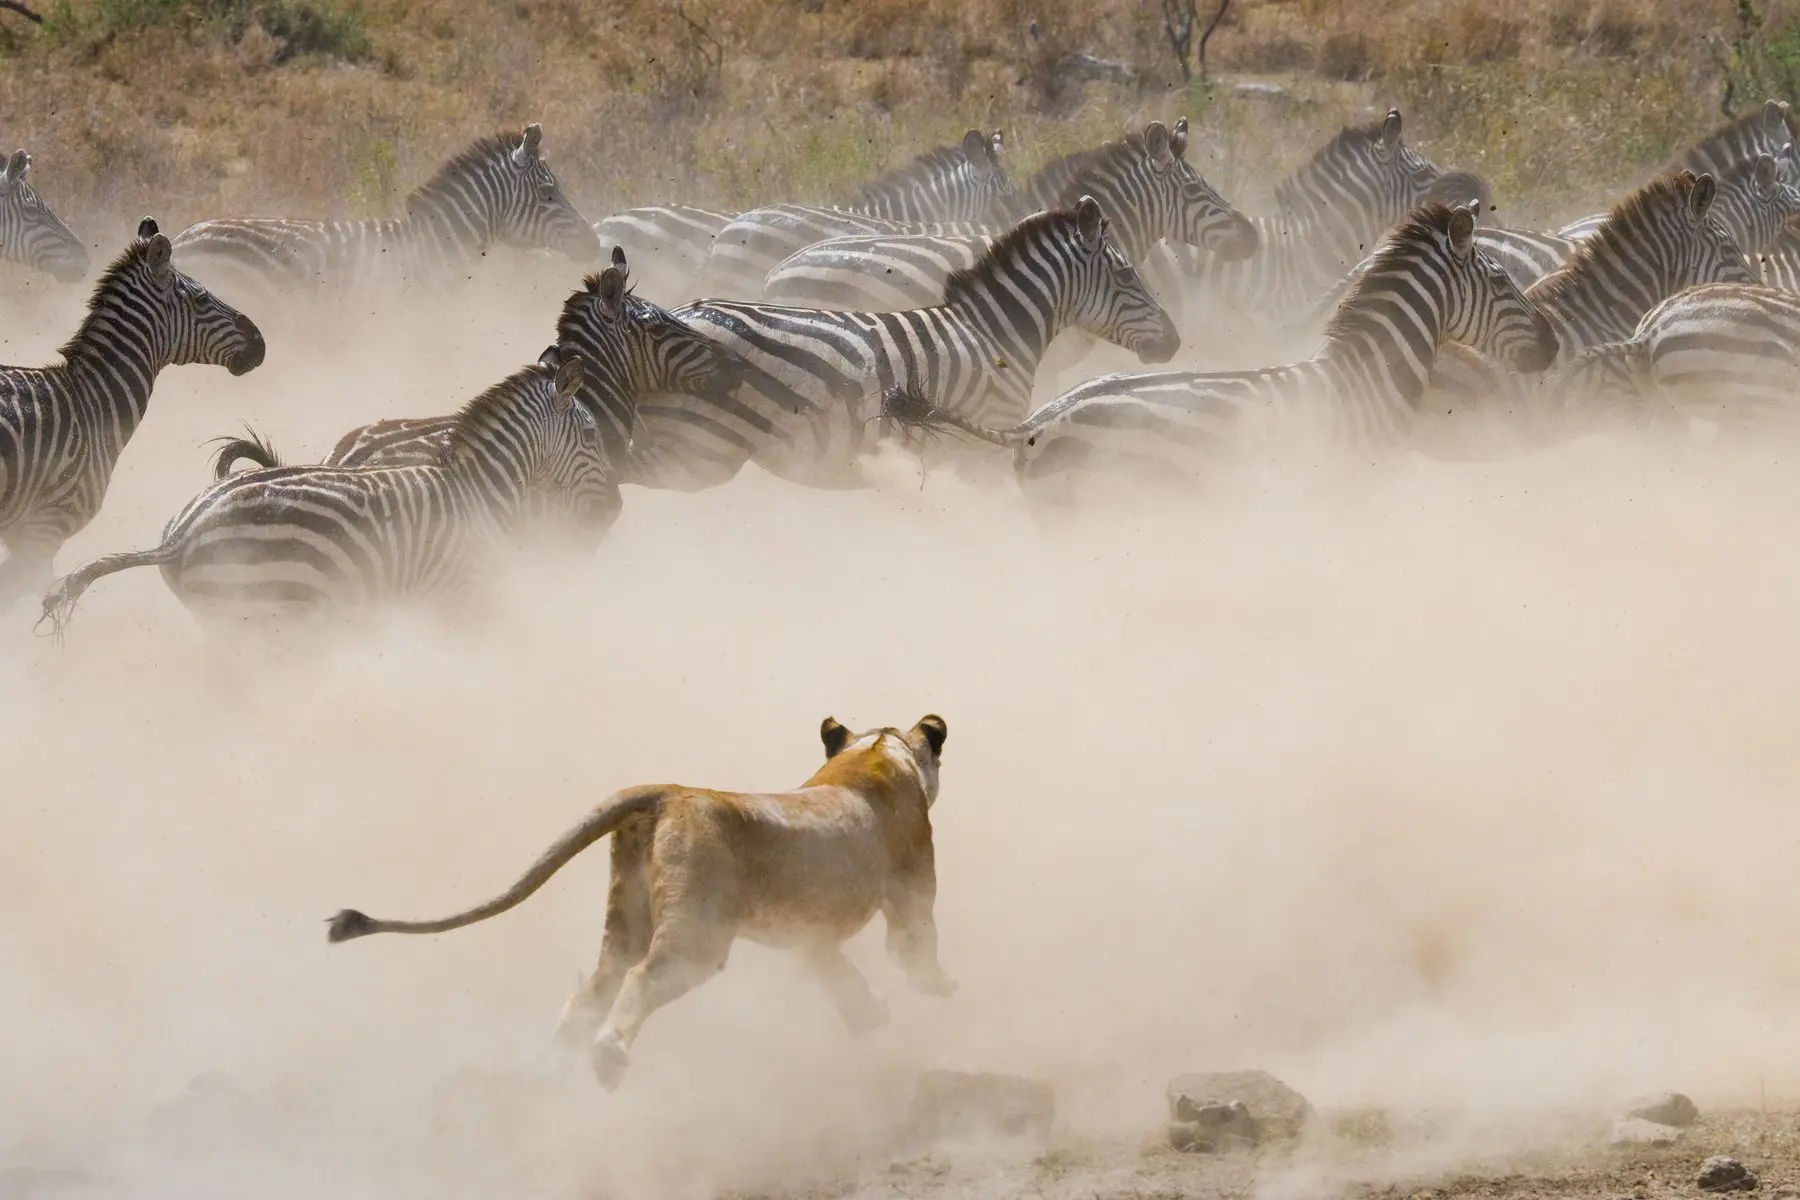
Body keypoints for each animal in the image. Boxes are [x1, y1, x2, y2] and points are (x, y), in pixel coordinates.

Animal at [40, 349, 611, 636]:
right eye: (590, 435)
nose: (616, 509)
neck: (481, 490)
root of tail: (179, 536)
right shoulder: (458, 596)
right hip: (273, 613)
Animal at [327, 713, 955, 1088]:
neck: (877, 752)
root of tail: (667, 791)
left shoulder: (807, 934)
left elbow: (836, 973)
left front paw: (870, 1016)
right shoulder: (910, 890)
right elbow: (914, 948)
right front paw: (939, 988)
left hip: (626, 917)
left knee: (590, 992)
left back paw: (554, 1067)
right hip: (697, 937)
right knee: (640, 980)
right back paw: (608, 1061)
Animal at [626, 196, 1180, 491]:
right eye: (1127, 274)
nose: (1175, 342)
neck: (993, 333)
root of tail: (676, 313)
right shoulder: (979, 445)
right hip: (698, 447)